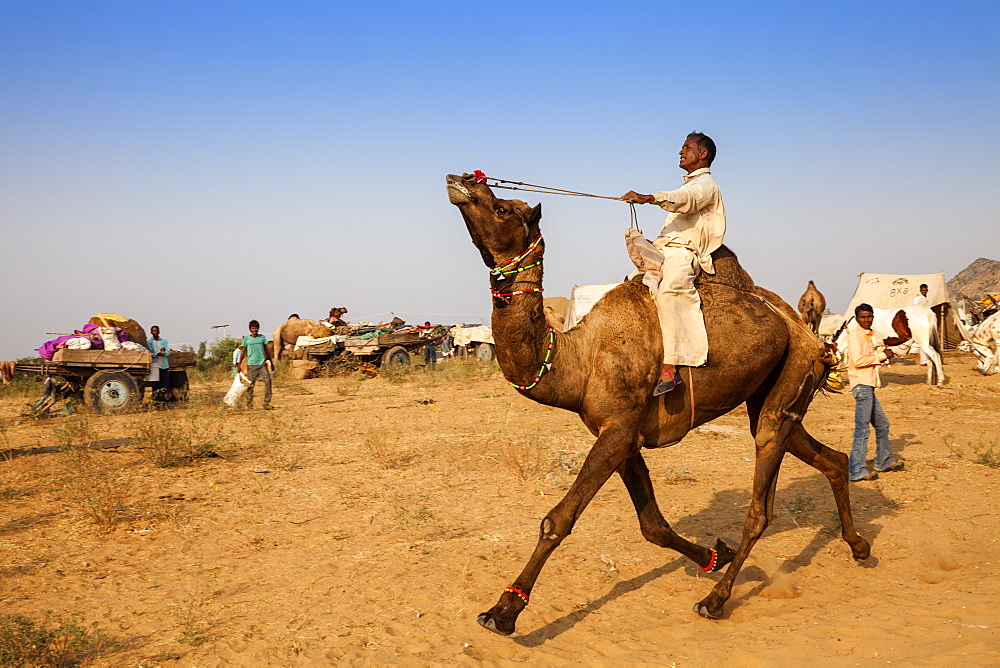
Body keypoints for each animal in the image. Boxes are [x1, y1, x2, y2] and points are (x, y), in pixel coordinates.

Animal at [450, 172, 872, 632]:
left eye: (503, 208)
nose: (459, 180)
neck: (579, 357)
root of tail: (812, 337)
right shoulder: (622, 435)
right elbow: (652, 524)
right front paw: (713, 554)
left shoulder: (618, 430)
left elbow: (557, 521)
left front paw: (504, 610)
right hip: (773, 395)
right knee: (827, 456)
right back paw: (858, 545)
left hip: (792, 375)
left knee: (761, 505)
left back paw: (715, 600)